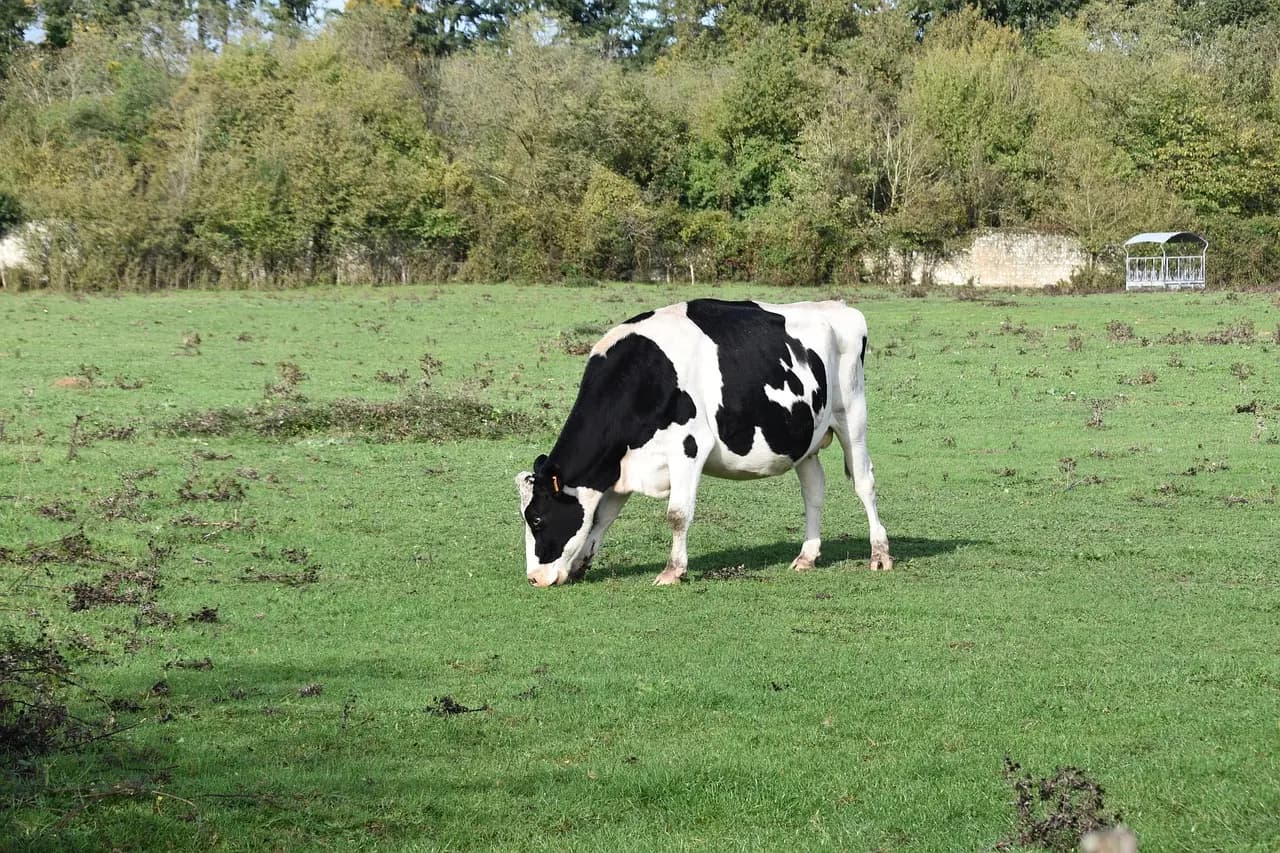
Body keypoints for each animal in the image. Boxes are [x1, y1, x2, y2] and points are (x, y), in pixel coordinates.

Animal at [516, 298, 892, 587]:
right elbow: (601, 517)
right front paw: (581, 564)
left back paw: (880, 554)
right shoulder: (621, 464)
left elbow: (677, 514)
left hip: (852, 416)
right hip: (804, 437)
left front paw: (672, 571)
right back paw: (807, 556)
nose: (534, 578)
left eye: (537, 519)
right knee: (814, 490)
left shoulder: (688, 445)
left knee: (864, 483)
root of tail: (840, 307)